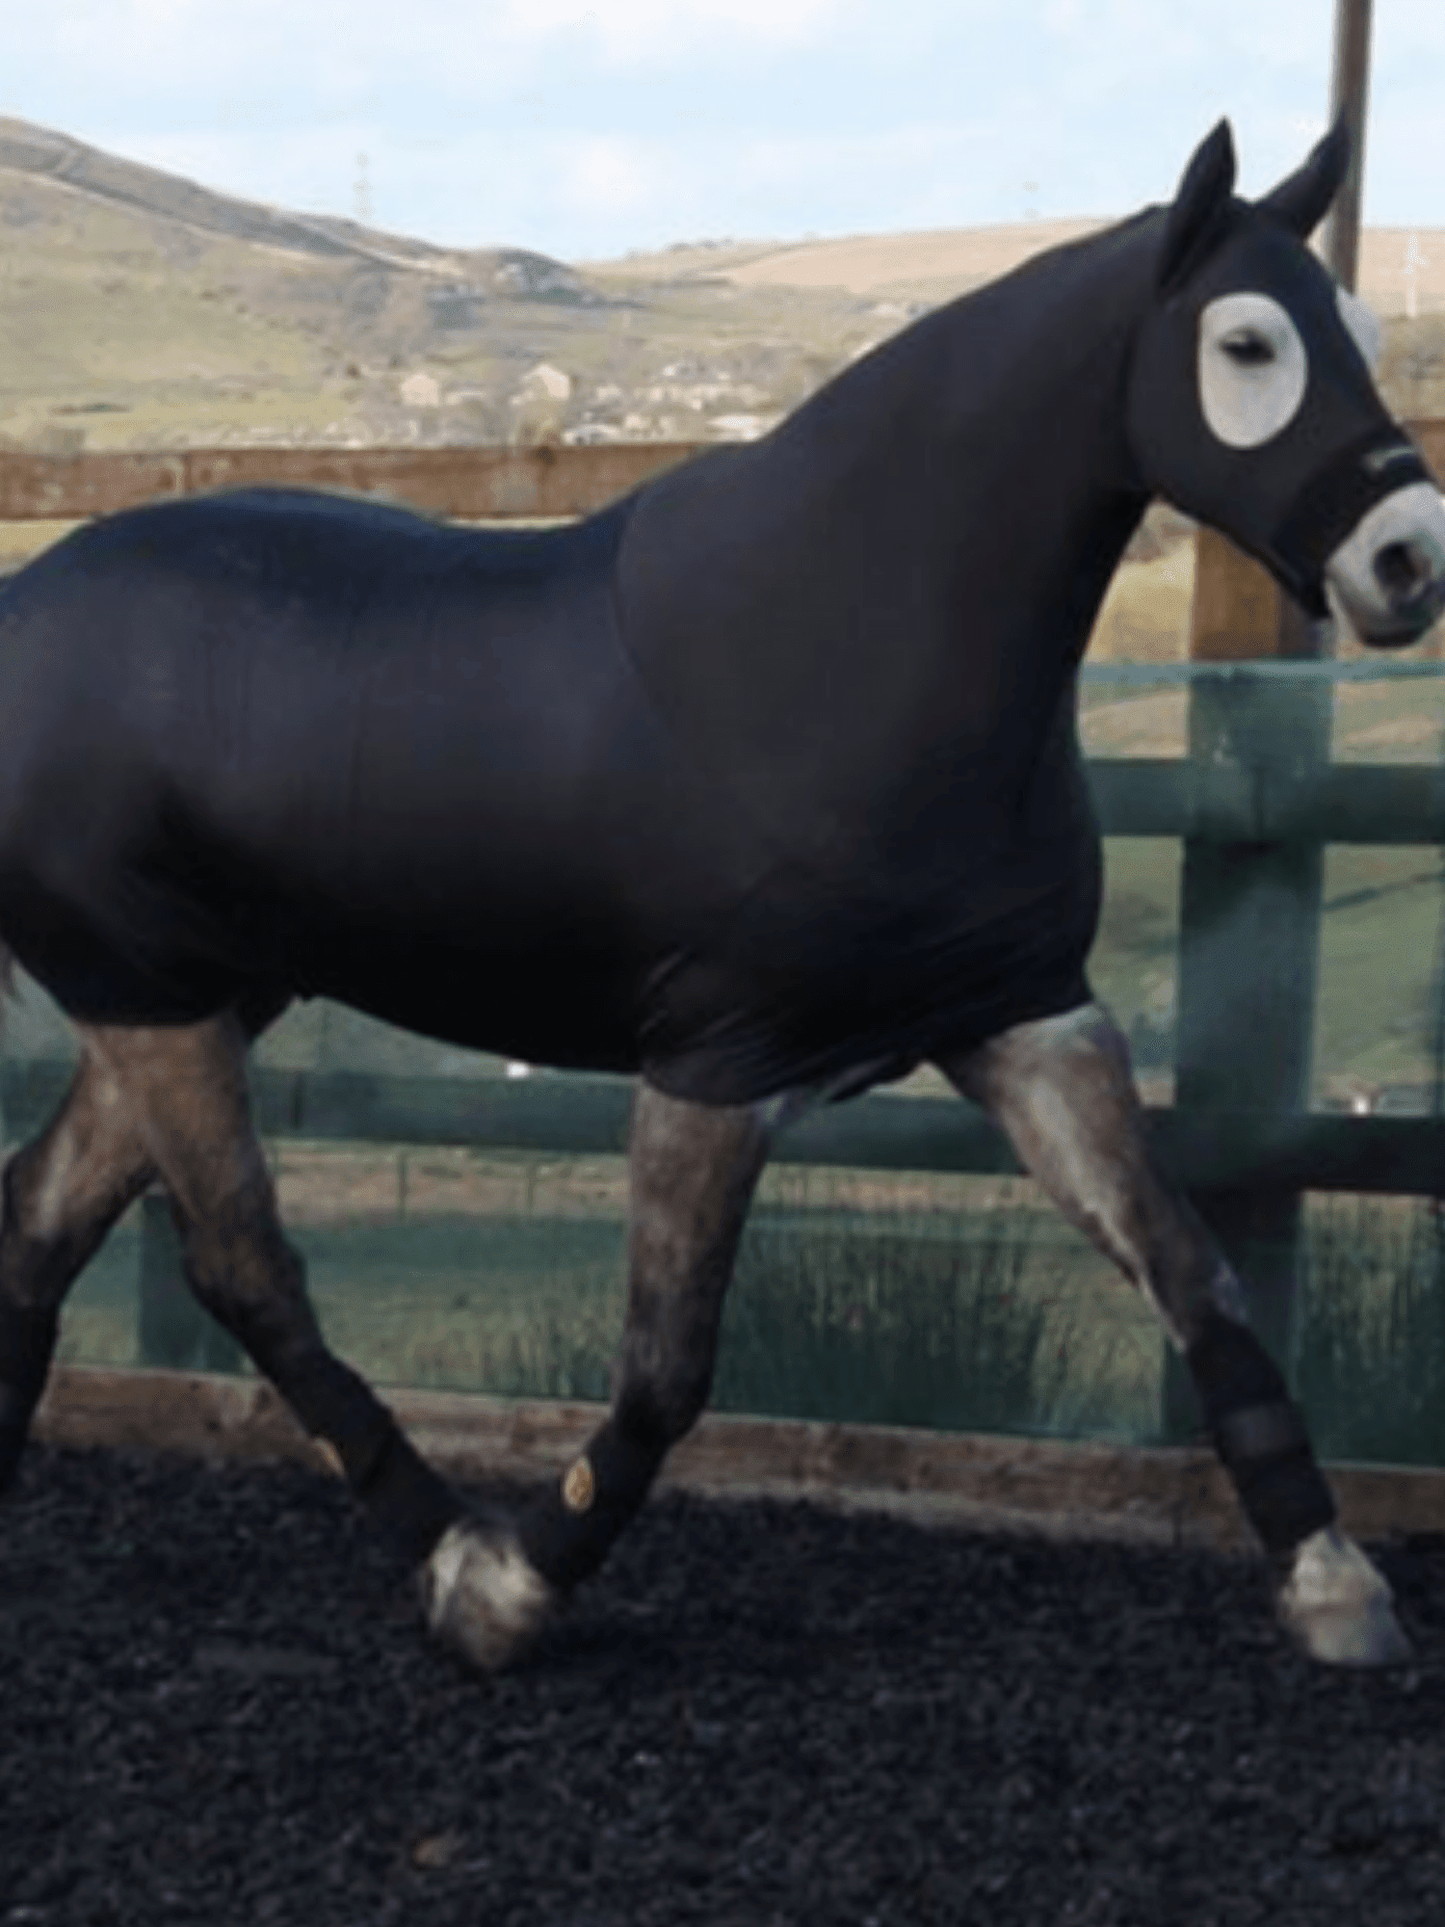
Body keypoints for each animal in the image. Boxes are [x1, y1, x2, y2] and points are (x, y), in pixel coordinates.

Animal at [2, 120, 1443, 1675]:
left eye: (1364, 330)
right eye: (1244, 341)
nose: (1407, 561)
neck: (841, 641)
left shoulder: (1027, 1023)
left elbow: (1194, 1276)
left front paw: (1333, 1581)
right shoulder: (714, 1064)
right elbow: (665, 1369)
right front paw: (517, 1589)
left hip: (193, 995)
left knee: (39, 1216)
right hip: (153, 998)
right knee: (242, 1266)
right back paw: (448, 1548)